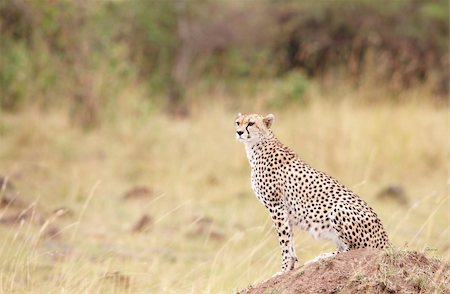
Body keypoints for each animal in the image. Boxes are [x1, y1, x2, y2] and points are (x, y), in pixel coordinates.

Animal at [236, 112, 390, 276]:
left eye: (251, 123)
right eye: (238, 122)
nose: (239, 132)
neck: (257, 145)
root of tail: (387, 242)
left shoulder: (276, 206)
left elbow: (284, 241)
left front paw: (284, 270)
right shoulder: (284, 210)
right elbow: (290, 240)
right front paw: (290, 266)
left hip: (338, 207)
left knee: (353, 249)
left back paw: (325, 256)